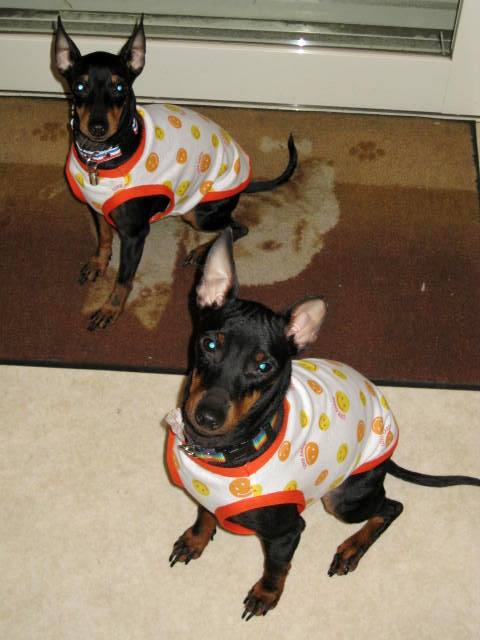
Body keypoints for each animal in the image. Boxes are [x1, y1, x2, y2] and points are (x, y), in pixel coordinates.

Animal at [54, 16, 297, 330]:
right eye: (80, 86)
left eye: (120, 88)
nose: (97, 127)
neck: (100, 158)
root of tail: (245, 182)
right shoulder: (96, 207)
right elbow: (104, 238)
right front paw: (98, 263)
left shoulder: (134, 235)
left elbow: (123, 280)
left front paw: (110, 309)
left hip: (197, 213)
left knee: (237, 227)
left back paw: (202, 251)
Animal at [165, 228, 480, 620]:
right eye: (209, 344)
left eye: (263, 366)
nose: (207, 416)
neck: (227, 450)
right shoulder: (205, 494)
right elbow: (204, 515)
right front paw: (195, 539)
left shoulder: (288, 533)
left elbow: (276, 567)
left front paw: (266, 594)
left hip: (341, 499)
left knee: (391, 507)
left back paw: (350, 550)